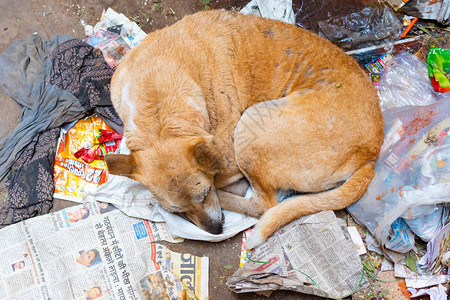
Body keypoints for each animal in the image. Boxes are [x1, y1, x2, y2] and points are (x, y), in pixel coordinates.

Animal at [106, 9, 384, 248]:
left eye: (204, 194)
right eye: (178, 211)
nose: (216, 230)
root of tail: (370, 156)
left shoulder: (226, 154)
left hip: (250, 125)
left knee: (265, 205)